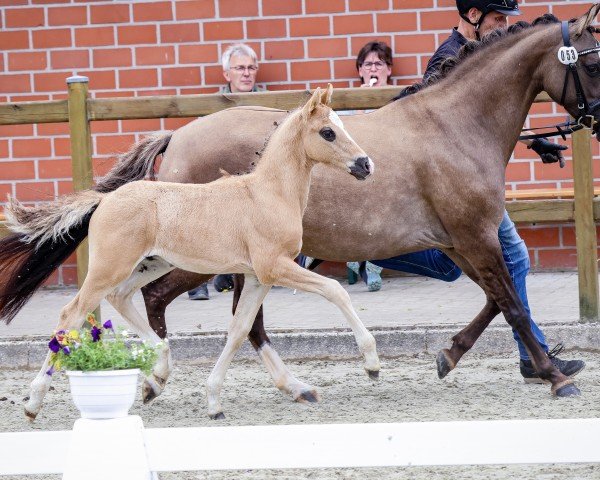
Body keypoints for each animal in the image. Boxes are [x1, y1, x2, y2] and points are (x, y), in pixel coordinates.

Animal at [3, 86, 380, 420]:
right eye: (328, 132)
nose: (365, 165)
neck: (267, 195)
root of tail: (104, 200)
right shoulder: (275, 267)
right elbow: (335, 290)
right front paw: (372, 365)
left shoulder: (256, 277)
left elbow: (240, 329)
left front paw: (213, 402)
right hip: (111, 266)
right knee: (72, 314)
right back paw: (33, 403)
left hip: (150, 265)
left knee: (120, 297)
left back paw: (157, 375)